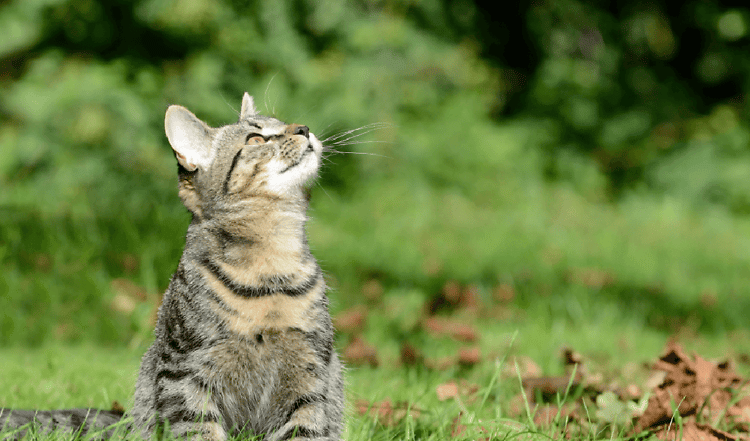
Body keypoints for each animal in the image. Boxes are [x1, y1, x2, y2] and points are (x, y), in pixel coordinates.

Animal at [0, 91, 346, 438]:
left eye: (284, 122)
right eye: (256, 138)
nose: (303, 128)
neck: (271, 267)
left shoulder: (311, 371)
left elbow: (306, 428)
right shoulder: (185, 371)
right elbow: (200, 430)